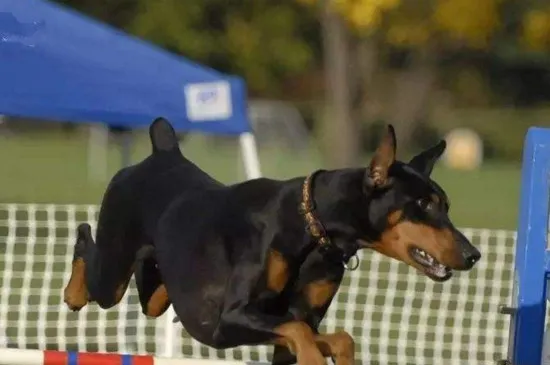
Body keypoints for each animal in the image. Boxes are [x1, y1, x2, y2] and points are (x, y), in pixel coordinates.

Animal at [63, 117, 484, 364]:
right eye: (423, 205)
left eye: (445, 205)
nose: (473, 254)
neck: (311, 227)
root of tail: (162, 151)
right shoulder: (232, 319)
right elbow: (302, 335)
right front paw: (314, 359)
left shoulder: (298, 320)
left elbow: (335, 337)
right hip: (113, 271)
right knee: (85, 241)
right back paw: (73, 291)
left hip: (157, 288)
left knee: (152, 292)